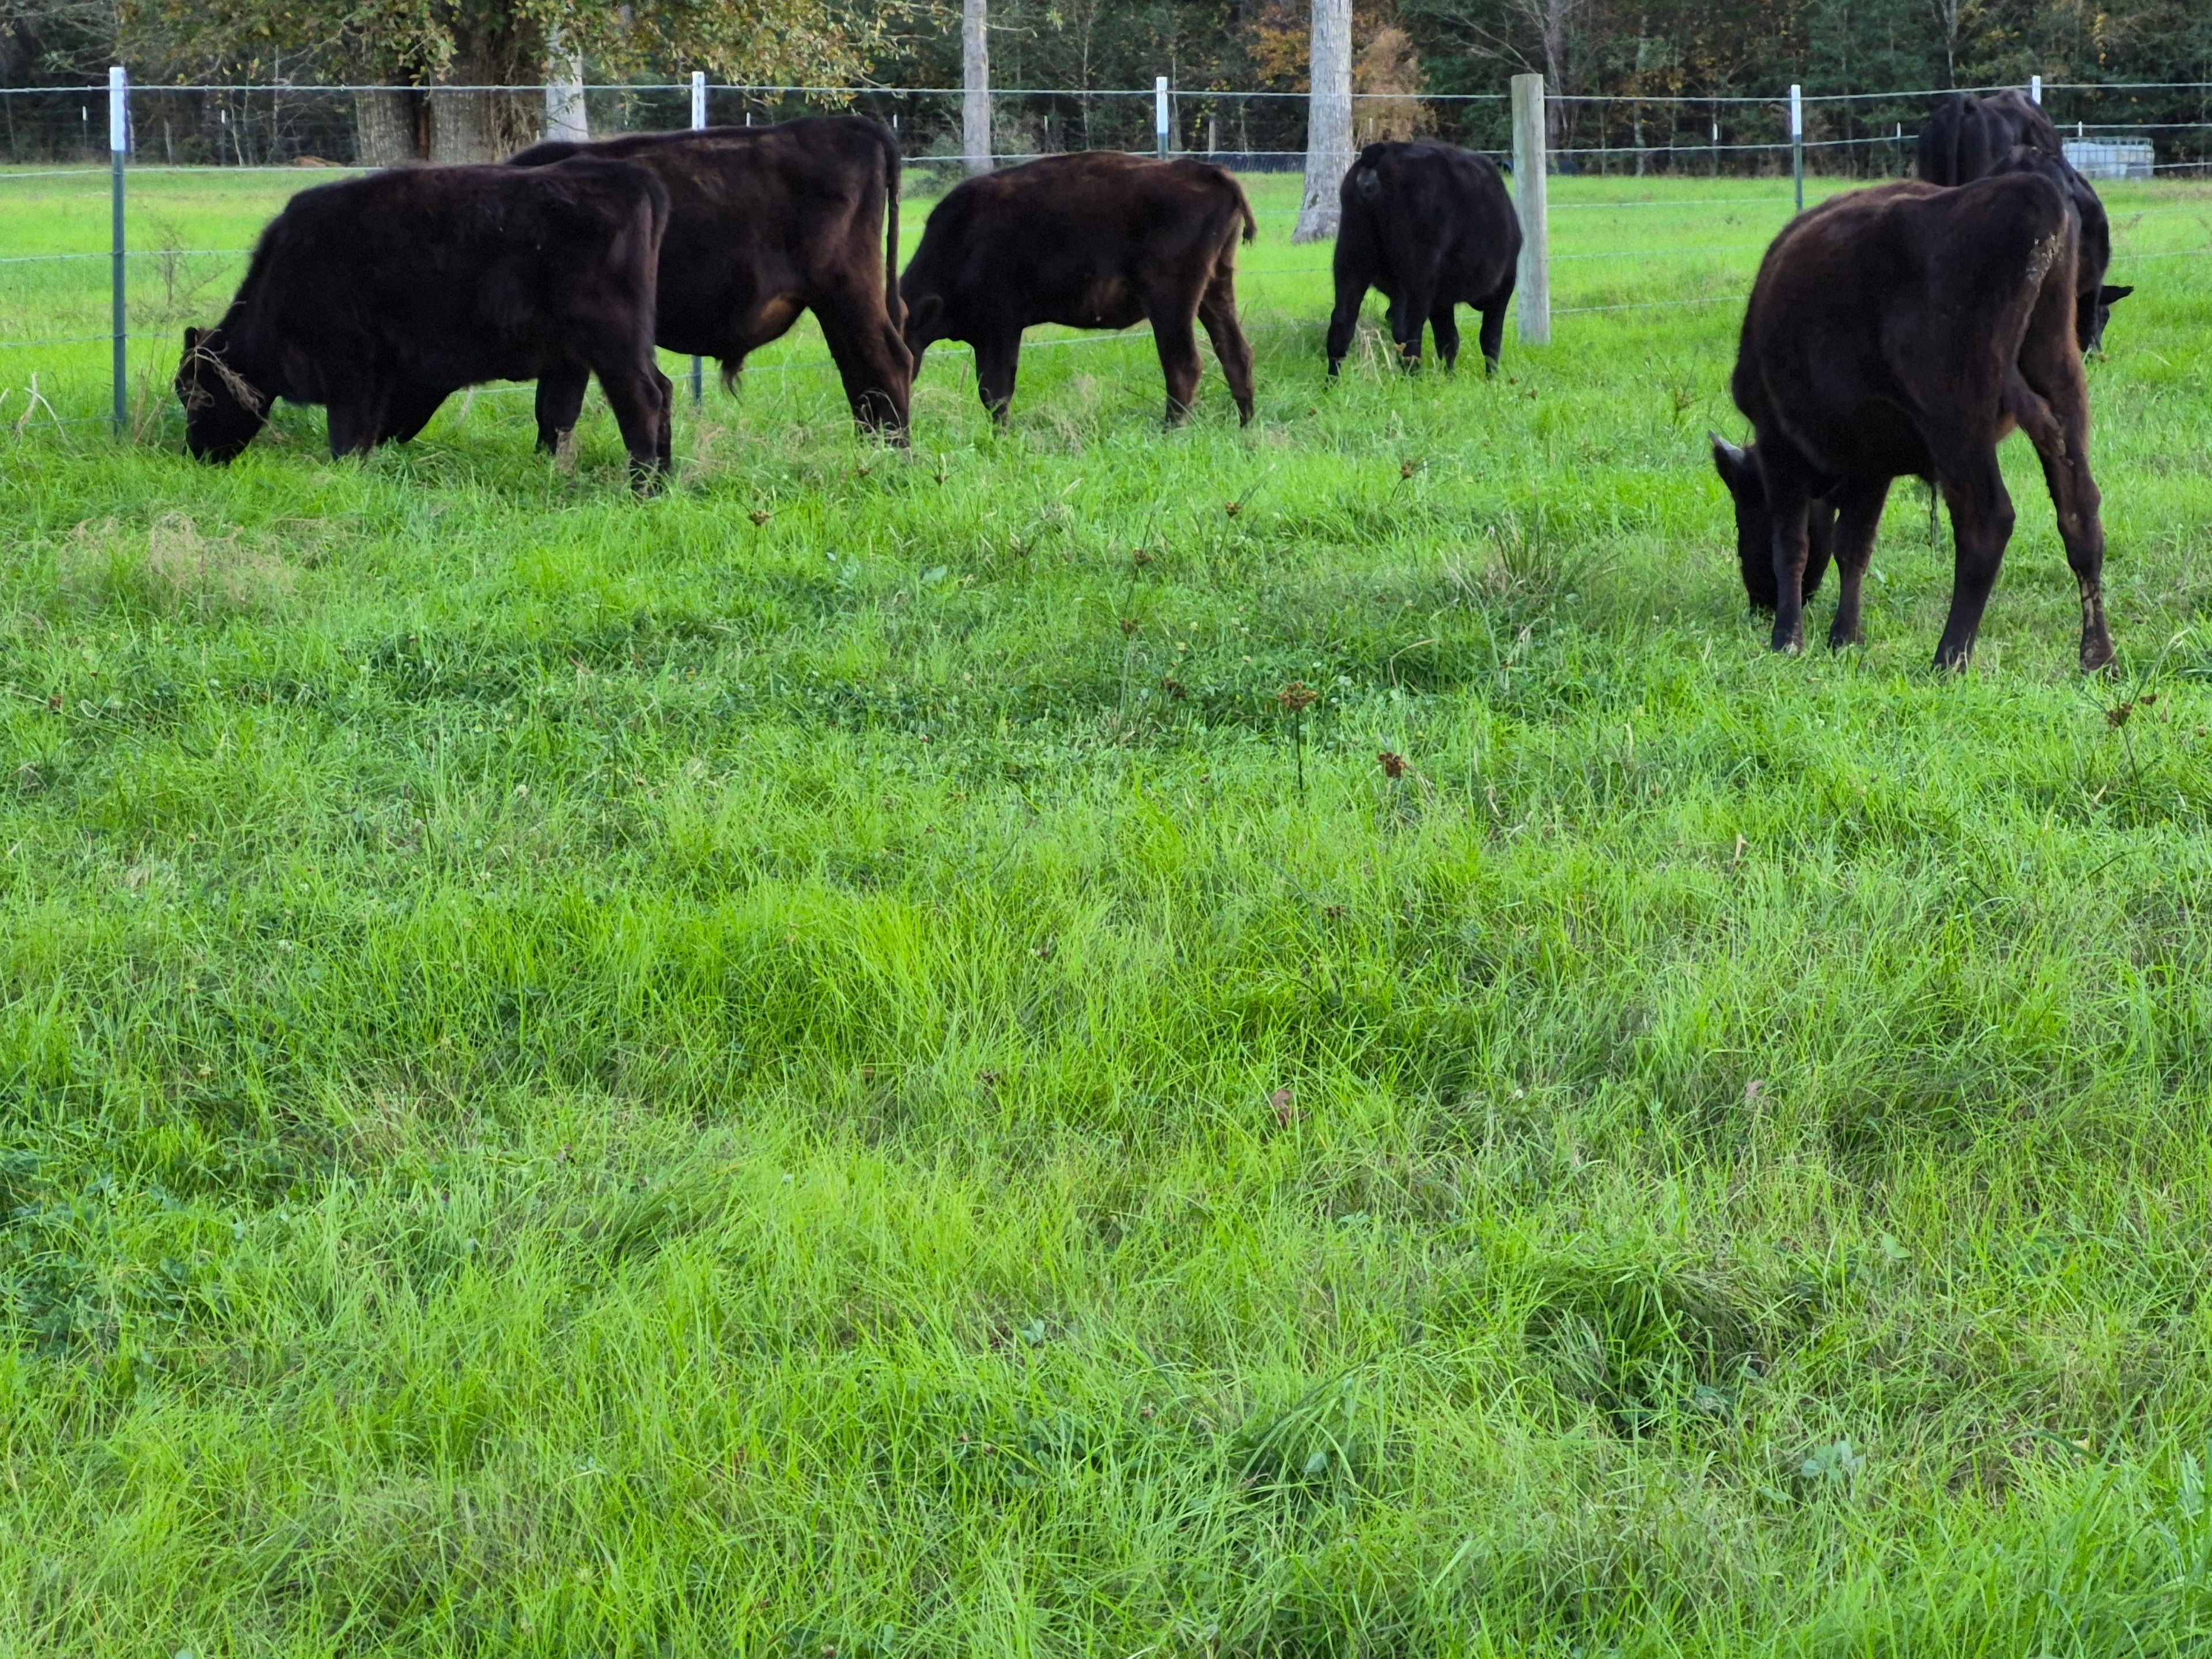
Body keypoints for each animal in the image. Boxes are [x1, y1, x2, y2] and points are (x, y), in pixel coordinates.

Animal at [175, 160, 672, 489]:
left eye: (197, 393)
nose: (196, 453)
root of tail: (623, 174)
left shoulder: (348, 364)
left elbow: (347, 436)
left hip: (612, 343)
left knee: (643, 399)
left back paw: (642, 488)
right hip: (623, 345)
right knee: (664, 390)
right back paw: (665, 480)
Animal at [509, 116, 911, 441]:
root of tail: (849, 125)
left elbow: (554, 409)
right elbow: (556, 410)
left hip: (848, 290)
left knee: (886, 360)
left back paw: (894, 451)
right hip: (835, 305)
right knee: (856, 366)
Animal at [899, 151, 1258, 427]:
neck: (962, 239)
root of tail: (1206, 171)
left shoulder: (1001, 328)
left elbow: (996, 391)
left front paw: (1002, 436)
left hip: (1170, 301)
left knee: (1183, 364)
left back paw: (1170, 430)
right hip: (1215, 290)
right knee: (1235, 353)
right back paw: (1246, 427)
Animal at [1325, 141, 1521, 377]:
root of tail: (1382, 151)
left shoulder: (1441, 300)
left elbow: (1448, 340)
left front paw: (1450, 377)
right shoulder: (1503, 286)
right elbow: (1490, 340)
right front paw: (1491, 379)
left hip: (1350, 260)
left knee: (1341, 324)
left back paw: (1332, 381)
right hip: (1418, 277)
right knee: (1407, 330)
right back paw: (1414, 379)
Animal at [1710, 173, 2111, 674]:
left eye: (1745, 511)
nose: (1760, 602)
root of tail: (2032, 188)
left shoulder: (1779, 445)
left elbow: (1793, 544)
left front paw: (1787, 639)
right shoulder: (1872, 463)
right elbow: (1853, 547)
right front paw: (1845, 637)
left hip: (1958, 425)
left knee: (1988, 521)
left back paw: (1949, 658)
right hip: (2062, 386)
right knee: (2080, 514)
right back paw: (2099, 658)